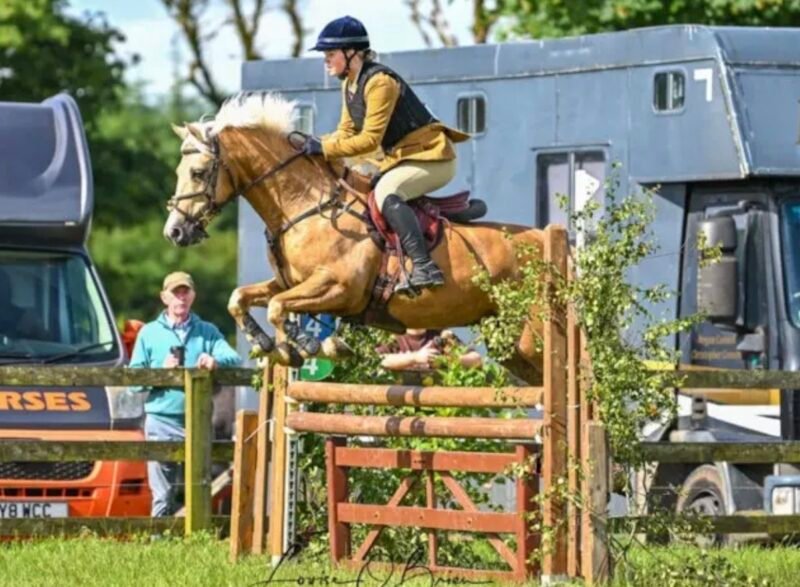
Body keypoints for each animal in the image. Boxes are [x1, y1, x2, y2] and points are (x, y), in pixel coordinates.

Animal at [164, 92, 548, 384]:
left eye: (198, 173)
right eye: (179, 171)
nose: (174, 231)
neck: (305, 204)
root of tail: (545, 240)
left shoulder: (339, 288)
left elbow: (277, 307)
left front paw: (301, 346)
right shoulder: (291, 283)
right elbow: (240, 298)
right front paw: (269, 343)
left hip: (532, 335)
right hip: (510, 343)